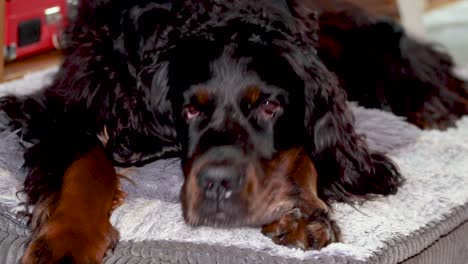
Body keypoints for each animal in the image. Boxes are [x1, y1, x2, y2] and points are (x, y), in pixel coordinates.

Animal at [1, 0, 466, 262]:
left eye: (269, 105)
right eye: (190, 109)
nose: (219, 185)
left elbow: (303, 152)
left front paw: (302, 212)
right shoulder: (65, 104)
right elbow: (85, 165)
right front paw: (66, 242)